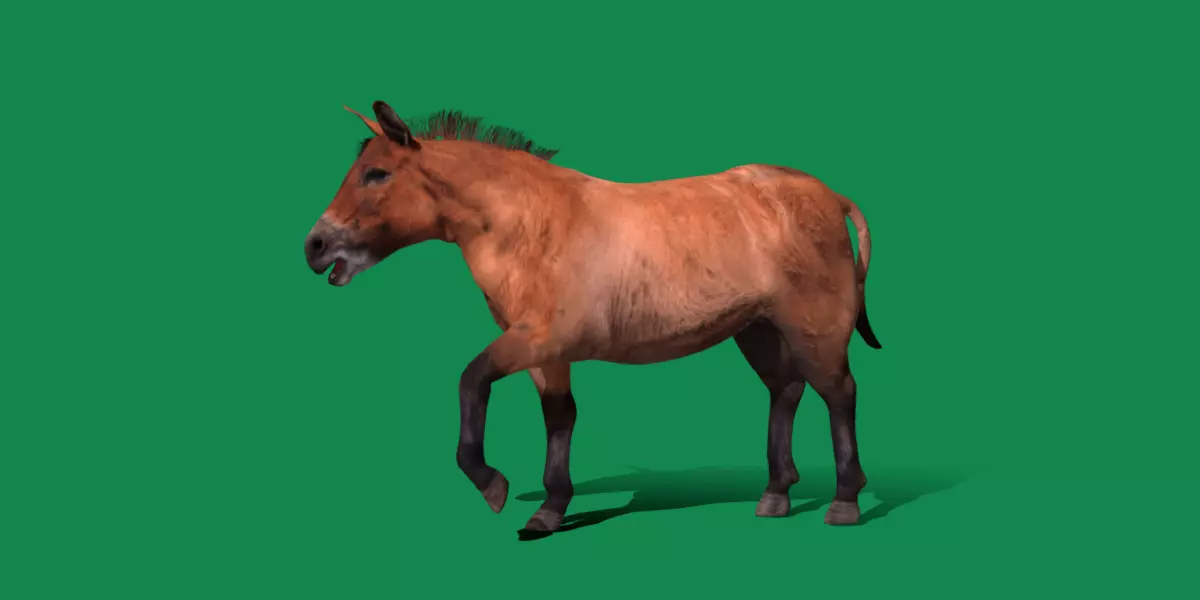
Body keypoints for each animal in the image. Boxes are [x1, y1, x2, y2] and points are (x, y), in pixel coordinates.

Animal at [304, 100, 883, 534]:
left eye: (377, 174)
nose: (315, 246)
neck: (529, 223)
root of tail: (830, 196)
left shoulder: (537, 339)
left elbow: (471, 381)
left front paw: (493, 485)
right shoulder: (546, 354)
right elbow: (560, 417)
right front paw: (549, 511)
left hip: (814, 326)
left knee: (839, 394)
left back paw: (845, 502)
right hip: (759, 330)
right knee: (786, 391)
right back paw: (775, 495)